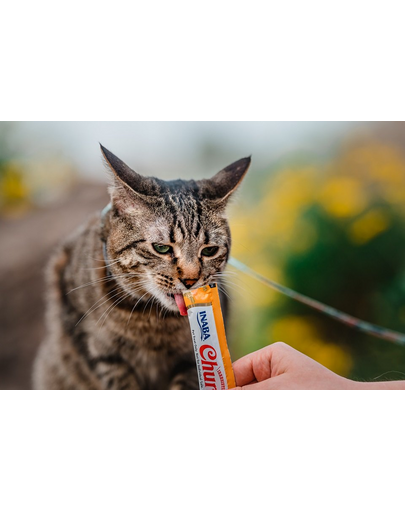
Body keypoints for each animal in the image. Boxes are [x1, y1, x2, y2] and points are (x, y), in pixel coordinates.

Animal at [33, 146, 251, 390]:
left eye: (209, 250)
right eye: (161, 248)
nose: (191, 280)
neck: (151, 319)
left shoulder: (189, 360)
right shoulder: (99, 350)